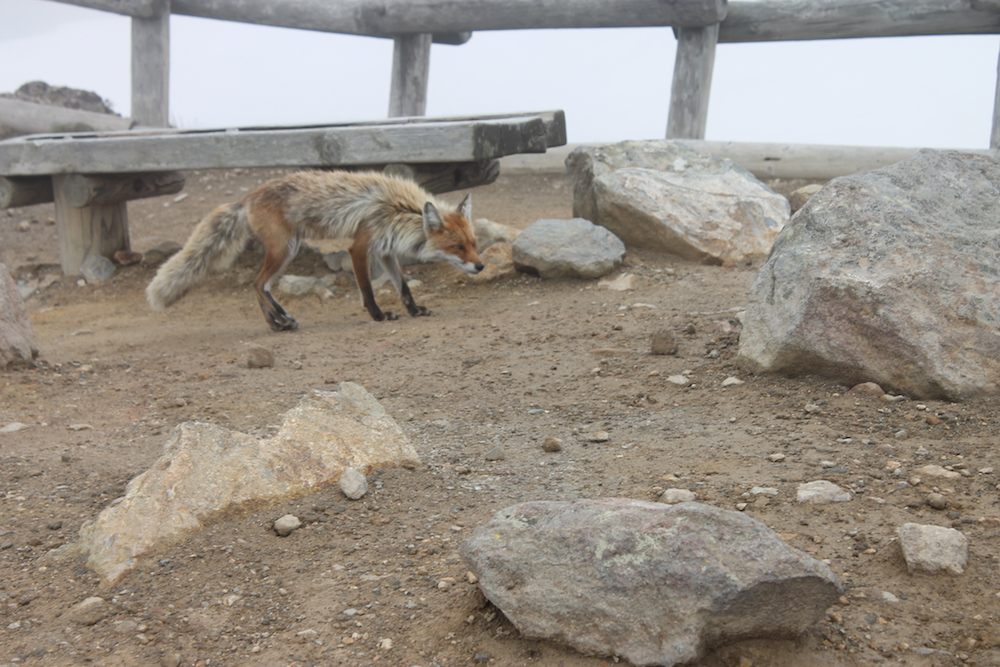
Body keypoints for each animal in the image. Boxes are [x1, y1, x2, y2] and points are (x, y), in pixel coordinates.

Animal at [145, 170, 484, 332]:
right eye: (457, 247)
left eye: (475, 244)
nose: (480, 267)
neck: (398, 209)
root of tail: (248, 197)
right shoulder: (359, 246)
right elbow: (367, 290)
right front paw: (378, 316)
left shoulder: (385, 250)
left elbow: (403, 287)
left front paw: (414, 310)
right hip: (285, 250)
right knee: (258, 284)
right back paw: (282, 320)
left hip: (286, 250)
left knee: (258, 286)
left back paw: (275, 324)